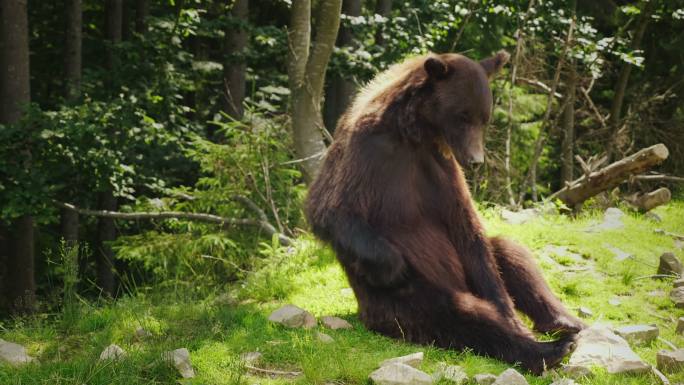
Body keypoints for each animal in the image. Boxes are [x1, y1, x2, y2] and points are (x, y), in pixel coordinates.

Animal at [308, 50, 584, 372]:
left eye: (484, 118)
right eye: (463, 115)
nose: (476, 160)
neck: (413, 133)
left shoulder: (440, 168)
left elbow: (469, 230)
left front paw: (511, 312)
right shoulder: (369, 151)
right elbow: (332, 209)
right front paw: (394, 266)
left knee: (509, 253)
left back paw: (565, 322)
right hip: (400, 306)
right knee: (459, 315)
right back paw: (550, 348)